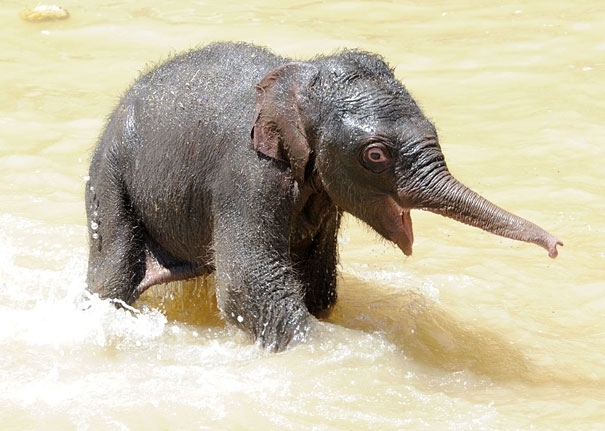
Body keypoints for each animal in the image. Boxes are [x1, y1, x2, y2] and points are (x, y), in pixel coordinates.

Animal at [86, 41, 560, 352]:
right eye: (375, 155)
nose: (557, 246)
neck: (296, 82)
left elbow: (318, 286)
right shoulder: (246, 175)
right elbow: (248, 285)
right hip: (108, 180)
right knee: (112, 274)